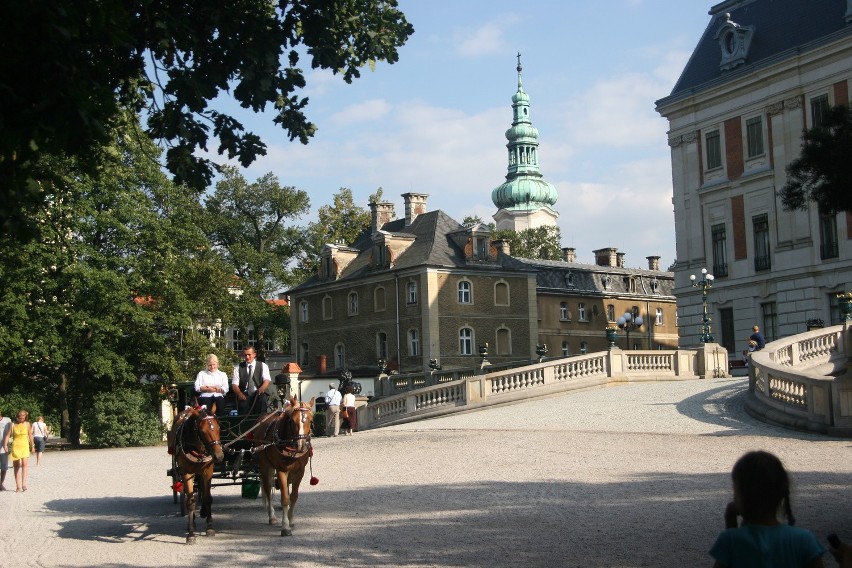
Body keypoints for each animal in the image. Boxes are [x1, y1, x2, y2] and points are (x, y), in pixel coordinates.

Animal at [167, 406, 223, 544]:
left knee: (202, 489)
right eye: (202, 431)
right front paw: (191, 534)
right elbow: (190, 501)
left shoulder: (207, 472)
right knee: (190, 495)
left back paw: (203, 512)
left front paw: (210, 527)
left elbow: (208, 498)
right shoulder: (186, 473)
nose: (219, 456)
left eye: (218, 427)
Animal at [258, 398, 318, 536]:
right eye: (292, 421)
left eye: (311, 421)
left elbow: (293, 496)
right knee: (267, 488)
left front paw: (291, 520)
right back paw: (272, 516)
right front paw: (285, 526)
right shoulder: (281, 470)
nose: (301, 445)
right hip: (265, 466)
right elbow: (285, 498)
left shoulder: (300, 471)